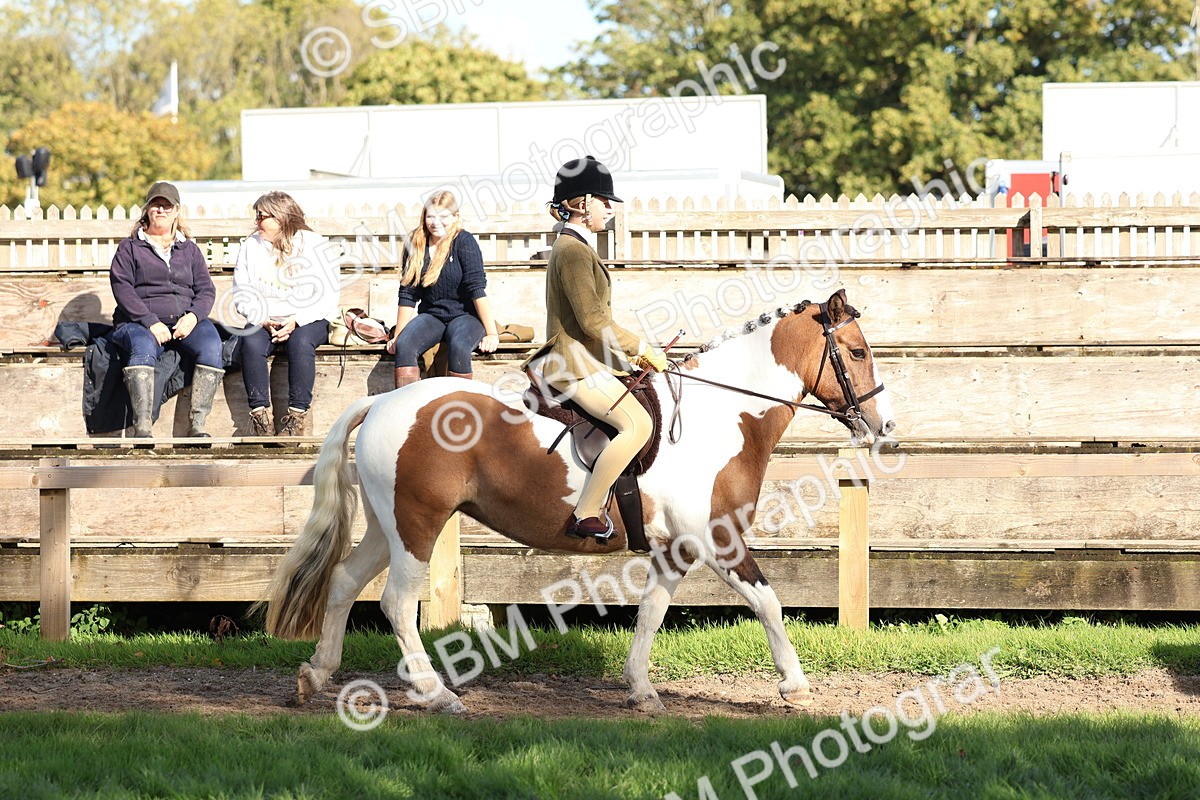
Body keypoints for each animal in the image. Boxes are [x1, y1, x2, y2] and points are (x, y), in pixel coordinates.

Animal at [259, 288, 896, 713]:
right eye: (856, 353)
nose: (884, 427)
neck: (723, 415)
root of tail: (386, 402)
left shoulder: (678, 549)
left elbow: (651, 612)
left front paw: (640, 690)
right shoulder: (717, 539)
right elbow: (768, 601)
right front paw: (795, 685)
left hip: (387, 524)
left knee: (345, 581)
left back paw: (317, 675)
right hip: (417, 524)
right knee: (395, 602)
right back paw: (435, 693)